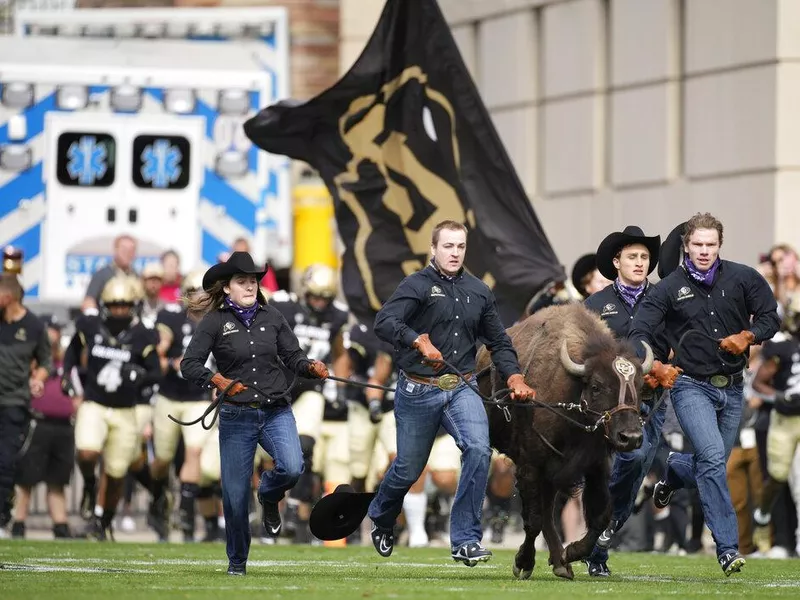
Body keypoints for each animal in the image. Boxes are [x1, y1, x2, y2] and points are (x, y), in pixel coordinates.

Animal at [476, 302, 648, 580]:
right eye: (597, 386)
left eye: (640, 386)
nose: (630, 437)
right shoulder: (530, 466)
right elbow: (533, 520)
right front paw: (523, 563)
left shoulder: (594, 467)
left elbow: (601, 516)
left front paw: (572, 553)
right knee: (543, 514)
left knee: (549, 511)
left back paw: (561, 563)